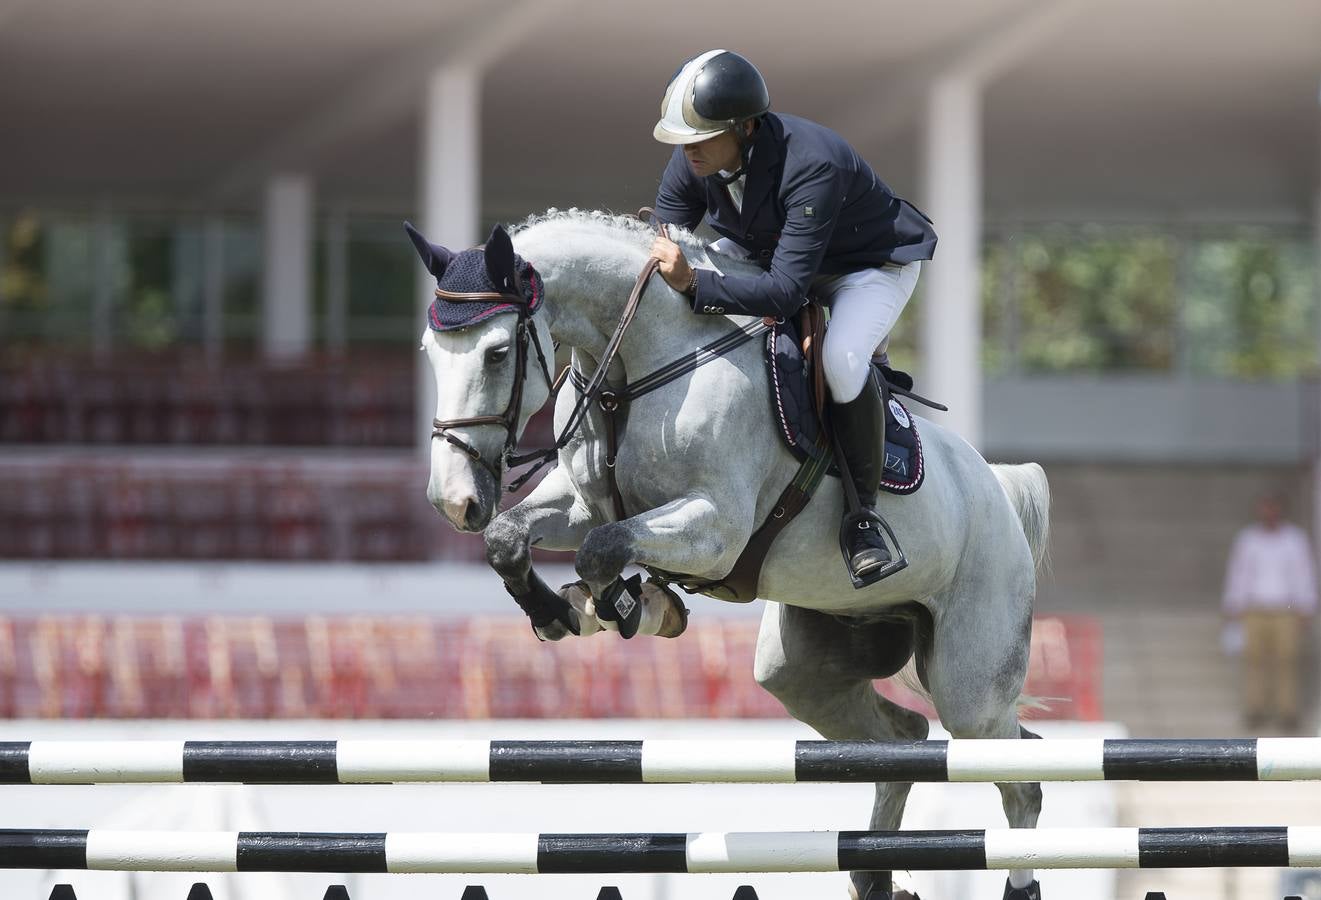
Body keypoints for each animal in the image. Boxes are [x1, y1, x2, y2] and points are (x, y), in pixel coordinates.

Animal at [414, 208, 1051, 898]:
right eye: (428, 353)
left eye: (497, 352)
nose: (452, 501)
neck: (639, 365)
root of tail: (997, 488)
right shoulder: (585, 503)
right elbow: (513, 539)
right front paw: (561, 613)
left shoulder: (716, 529)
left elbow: (603, 551)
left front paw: (632, 608)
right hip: (804, 669)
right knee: (903, 740)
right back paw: (876, 876)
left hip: (972, 689)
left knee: (1021, 782)